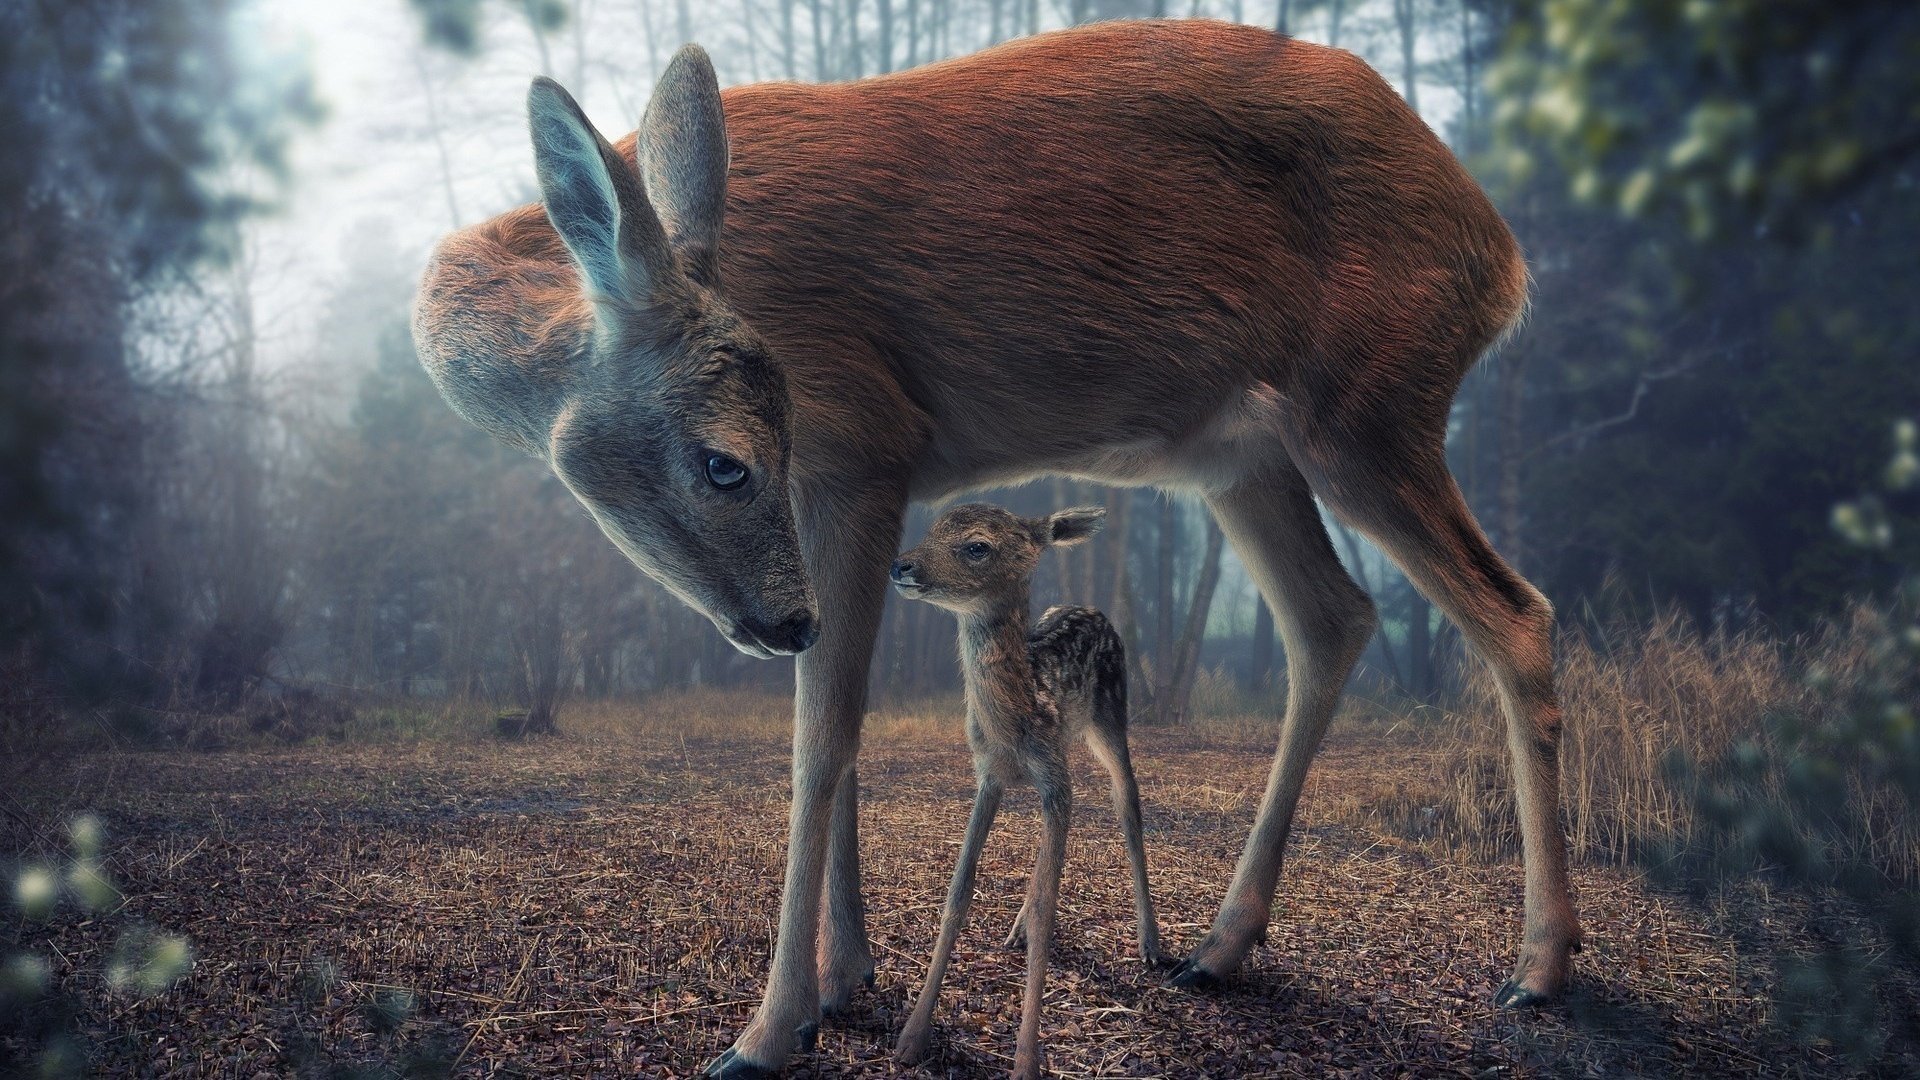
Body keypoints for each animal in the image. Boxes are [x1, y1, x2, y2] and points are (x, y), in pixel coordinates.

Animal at [888, 503, 1164, 1077]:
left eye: (976, 546)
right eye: (933, 527)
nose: (901, 565)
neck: (1015, 717)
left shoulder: (1053, 776)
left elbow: (1048, 908)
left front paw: (1026, 1062)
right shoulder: (989, 775)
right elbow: (959, 889)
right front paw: (911, 1037)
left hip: (1111, 717)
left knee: (1127, 802)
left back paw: (1150, 943)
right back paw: (1015, 929)